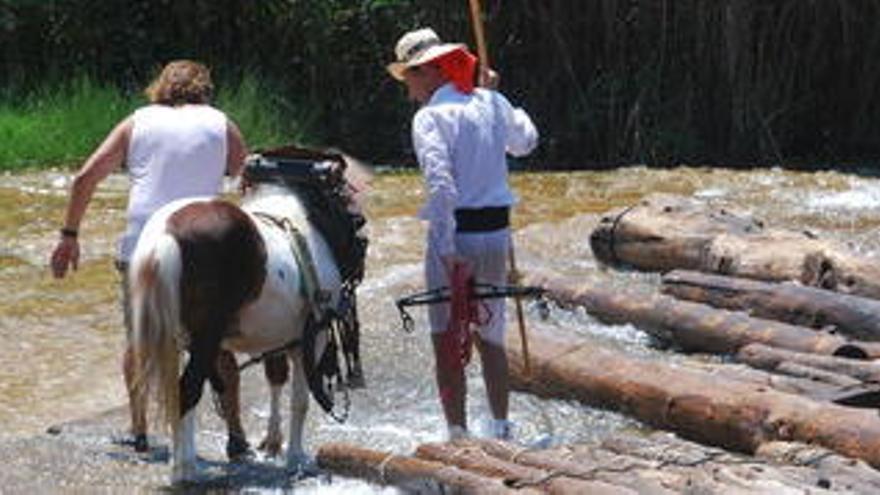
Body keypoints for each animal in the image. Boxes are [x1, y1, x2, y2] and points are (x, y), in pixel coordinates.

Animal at [128, 148, 368, 484]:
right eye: (348, 204)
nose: (361, 238)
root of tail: (166, 235)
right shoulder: (310, 339)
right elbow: (300, 400)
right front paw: (295, 459)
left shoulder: (278, 338)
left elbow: (276, 380)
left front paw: (273, 442)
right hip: (205, 340)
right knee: (187, 390)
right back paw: (183, 471)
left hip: (176, 340)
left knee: (179, 392)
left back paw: (185, 461)